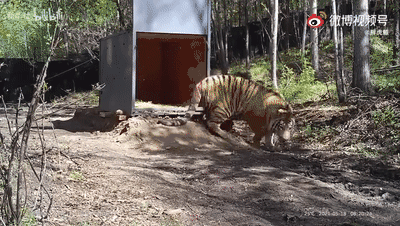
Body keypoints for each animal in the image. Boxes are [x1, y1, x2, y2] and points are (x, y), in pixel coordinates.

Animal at [158, 75, 292, 147]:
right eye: (282, 126)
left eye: (290, 127)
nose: (286, 140)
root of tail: (202, 82)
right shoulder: (254, 118)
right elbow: (261, 133)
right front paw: (257, 144)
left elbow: (269, 135)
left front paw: (272, 146)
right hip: (223, 109)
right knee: (211, 124)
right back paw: (229, 136)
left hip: (205, 105)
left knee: (201, 117)